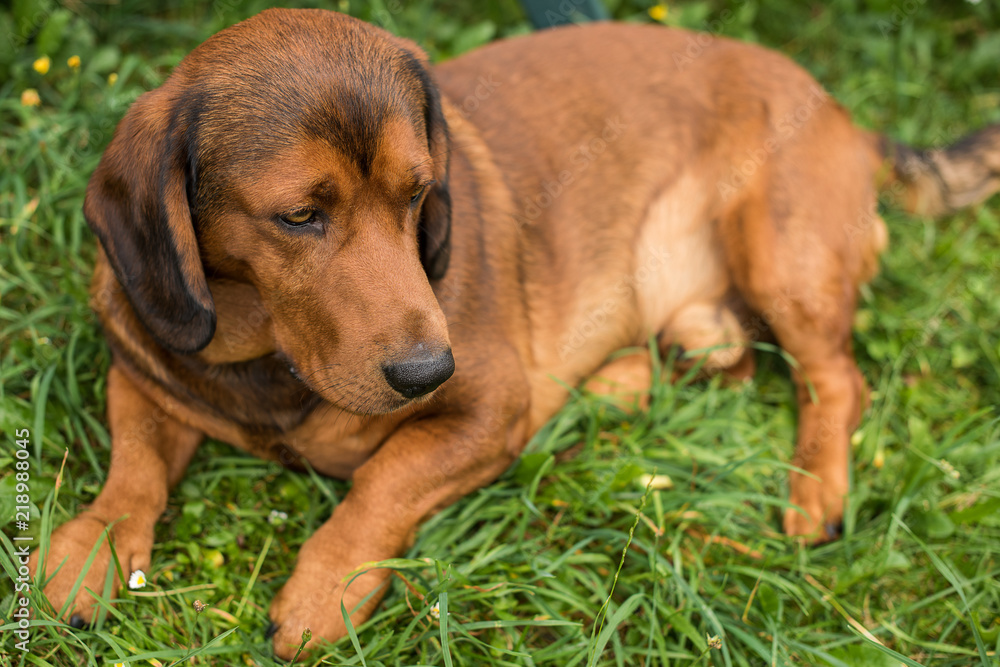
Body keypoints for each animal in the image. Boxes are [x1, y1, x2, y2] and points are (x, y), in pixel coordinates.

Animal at [31, 7, 1000, 660]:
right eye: (300, 215)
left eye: (419, 192)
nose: (429, 370)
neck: (271, 360)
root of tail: (842, 112)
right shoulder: (142, 370)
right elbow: (135, 464)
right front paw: (93, 546)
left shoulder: (486, 408)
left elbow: (382, 481)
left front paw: (326, 585)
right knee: (715, 359)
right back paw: (611, 388)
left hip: (780, 248)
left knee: (835, 377)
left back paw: (813, 488)